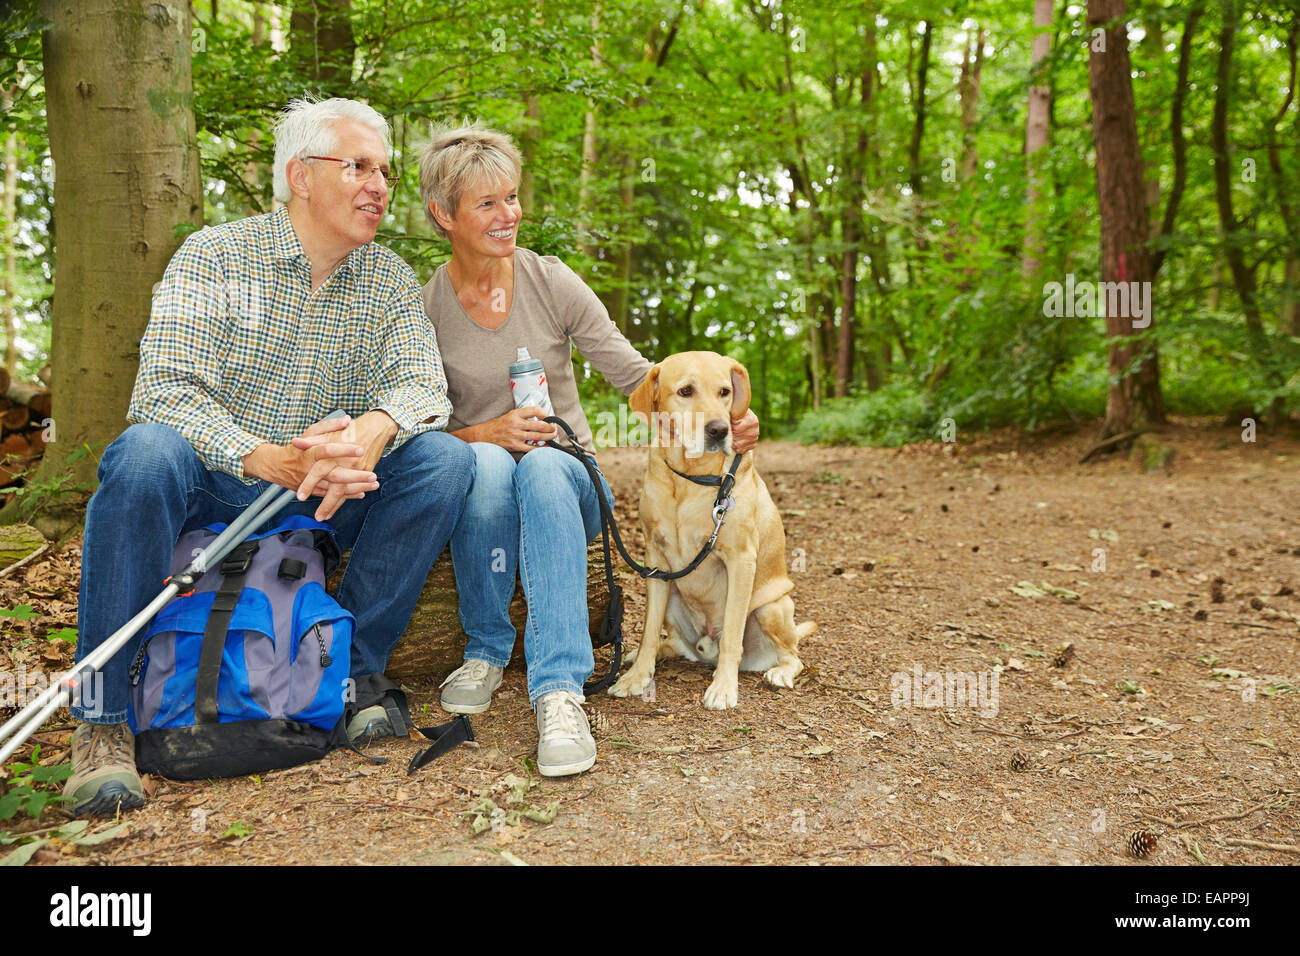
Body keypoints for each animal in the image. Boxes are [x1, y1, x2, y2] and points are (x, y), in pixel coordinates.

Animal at [608, 353, 811, 712]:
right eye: (686, 391)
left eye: (724, 391)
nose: (719, 429)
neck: (690, 478)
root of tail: (705, 651)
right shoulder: (655, 561)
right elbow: (648, 632)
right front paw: (636, 677)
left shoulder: (741, 559)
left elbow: (731, 633)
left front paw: (724, 688)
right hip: (672, 596)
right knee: (671, 642)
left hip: (772, 607)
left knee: (792, 655)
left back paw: (779, 672)